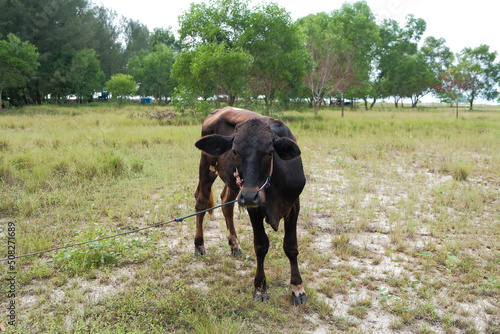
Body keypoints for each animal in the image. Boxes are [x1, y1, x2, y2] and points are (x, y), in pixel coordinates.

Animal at [193, 107, 306, 306]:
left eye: (269, 152)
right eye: (235, 151)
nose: (249, 196)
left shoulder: (293, 204)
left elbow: (291, 246)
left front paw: (297, 288)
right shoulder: (254, 207)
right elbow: (261, 246)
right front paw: (260, 288)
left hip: (233, 185)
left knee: (226, 204)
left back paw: (234, 244)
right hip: (208, 168)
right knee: (201, 202)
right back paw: (199, 245)